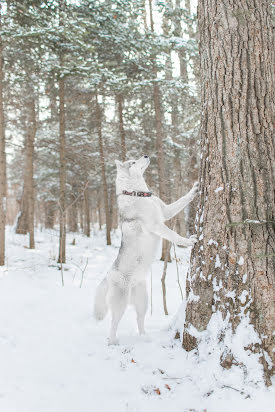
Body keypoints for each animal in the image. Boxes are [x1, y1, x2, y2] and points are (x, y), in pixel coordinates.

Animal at [94, 155, 198, 344]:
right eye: (133, 162)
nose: (146, 155)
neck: (138, 193)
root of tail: (108, 274)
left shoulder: (166, 212)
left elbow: (182, 200)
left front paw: (194, 190)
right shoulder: (157, 225)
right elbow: (174, 236)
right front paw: (188, 242)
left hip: (143, 302)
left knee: (139, 320)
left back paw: (145, 338)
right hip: (120, 304)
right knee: (113, 324)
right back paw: (113, 342)